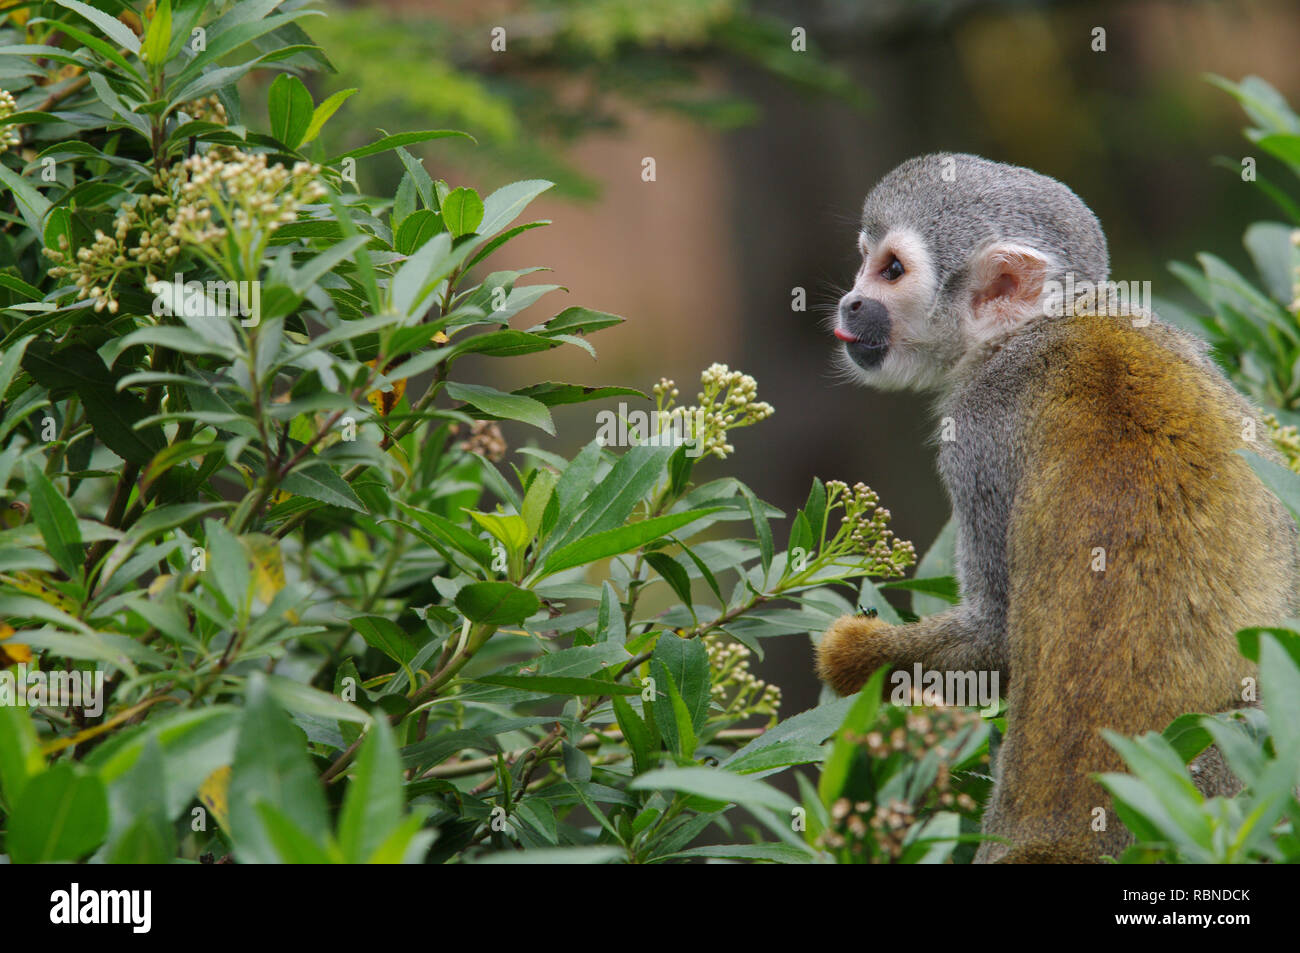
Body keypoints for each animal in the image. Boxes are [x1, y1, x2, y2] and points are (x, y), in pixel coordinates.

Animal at [816, 156, 1300, 863]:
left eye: (892, 271)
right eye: (863, 263)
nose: (851, 301)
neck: (1046, 325)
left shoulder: (980, 432)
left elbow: (995, 638)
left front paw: (853, 655)